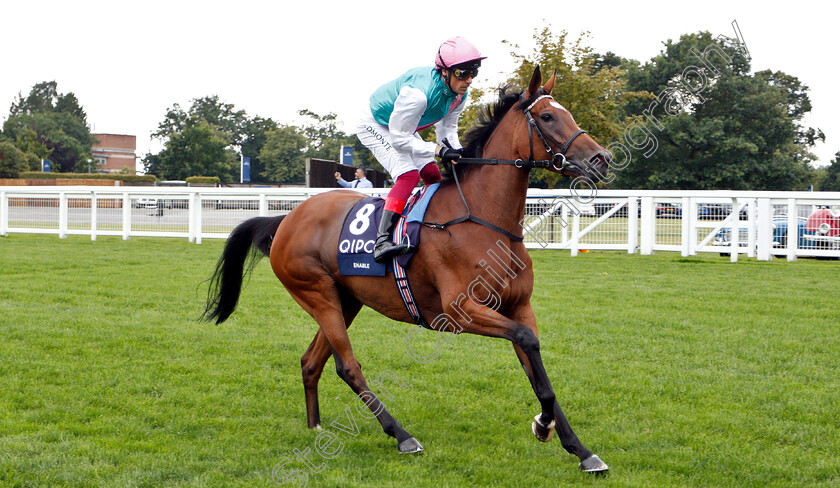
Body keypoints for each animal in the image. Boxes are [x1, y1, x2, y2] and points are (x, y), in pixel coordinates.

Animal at [203, 66, 612, 470]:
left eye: (567, 113)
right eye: (547, 116)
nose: (602, 158)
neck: (483, 220)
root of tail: (286, 218)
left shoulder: (520, 308)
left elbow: (538, 368)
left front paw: (577, 447)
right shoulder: (459, 310)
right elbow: (528, 344)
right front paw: (544, 424)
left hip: (345, 299)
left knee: (311, 361)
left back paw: (315, 425)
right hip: (316, 293)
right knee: (347, 365)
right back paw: (401, 435)